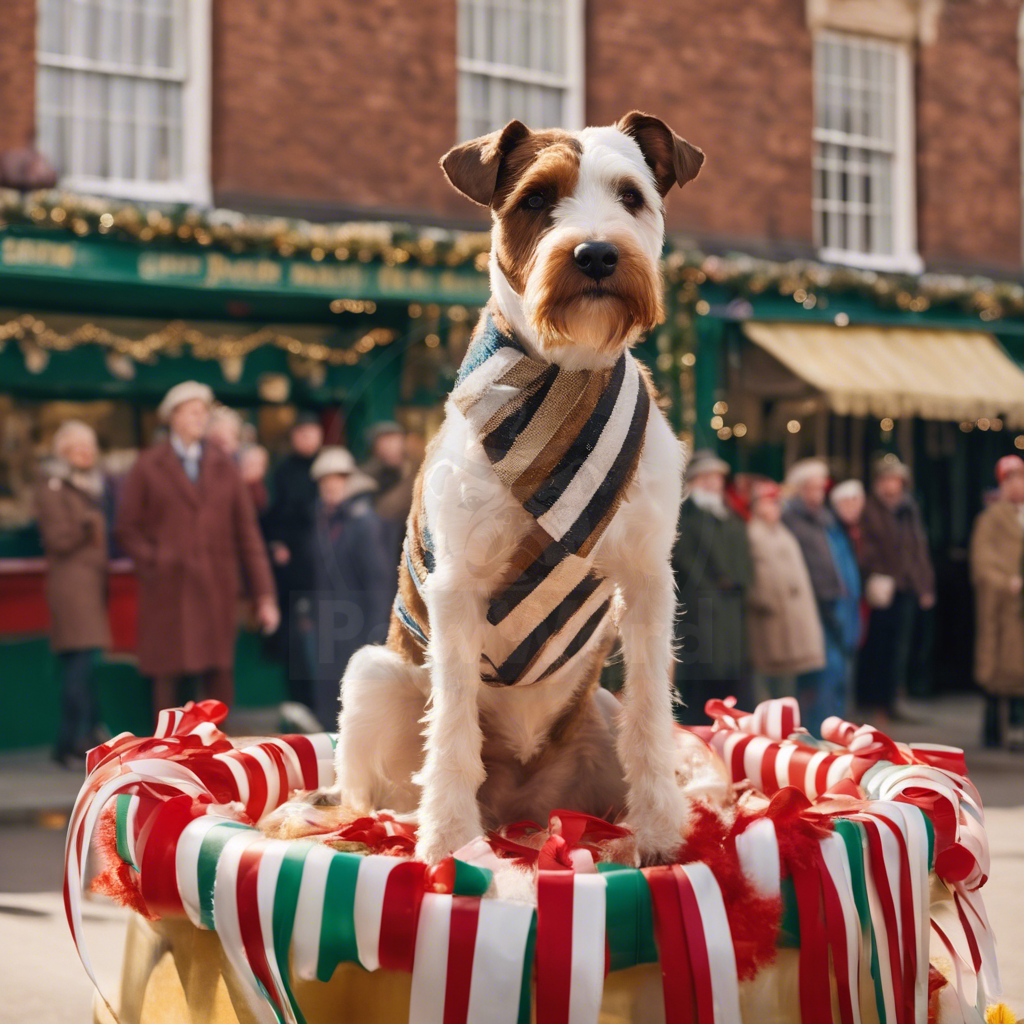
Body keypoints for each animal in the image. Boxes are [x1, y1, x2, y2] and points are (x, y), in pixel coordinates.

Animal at [325, 112, 704, 864]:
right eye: (536, 198)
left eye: (632, 197)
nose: (596, 254)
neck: (566, 379)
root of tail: (525, 812)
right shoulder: (460, 585)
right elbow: (451, 728)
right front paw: (448, 840)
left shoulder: (648, 579)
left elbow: (652, 710)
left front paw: (659, 828)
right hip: (374, 673)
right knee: (377, 789)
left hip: (594, 716)